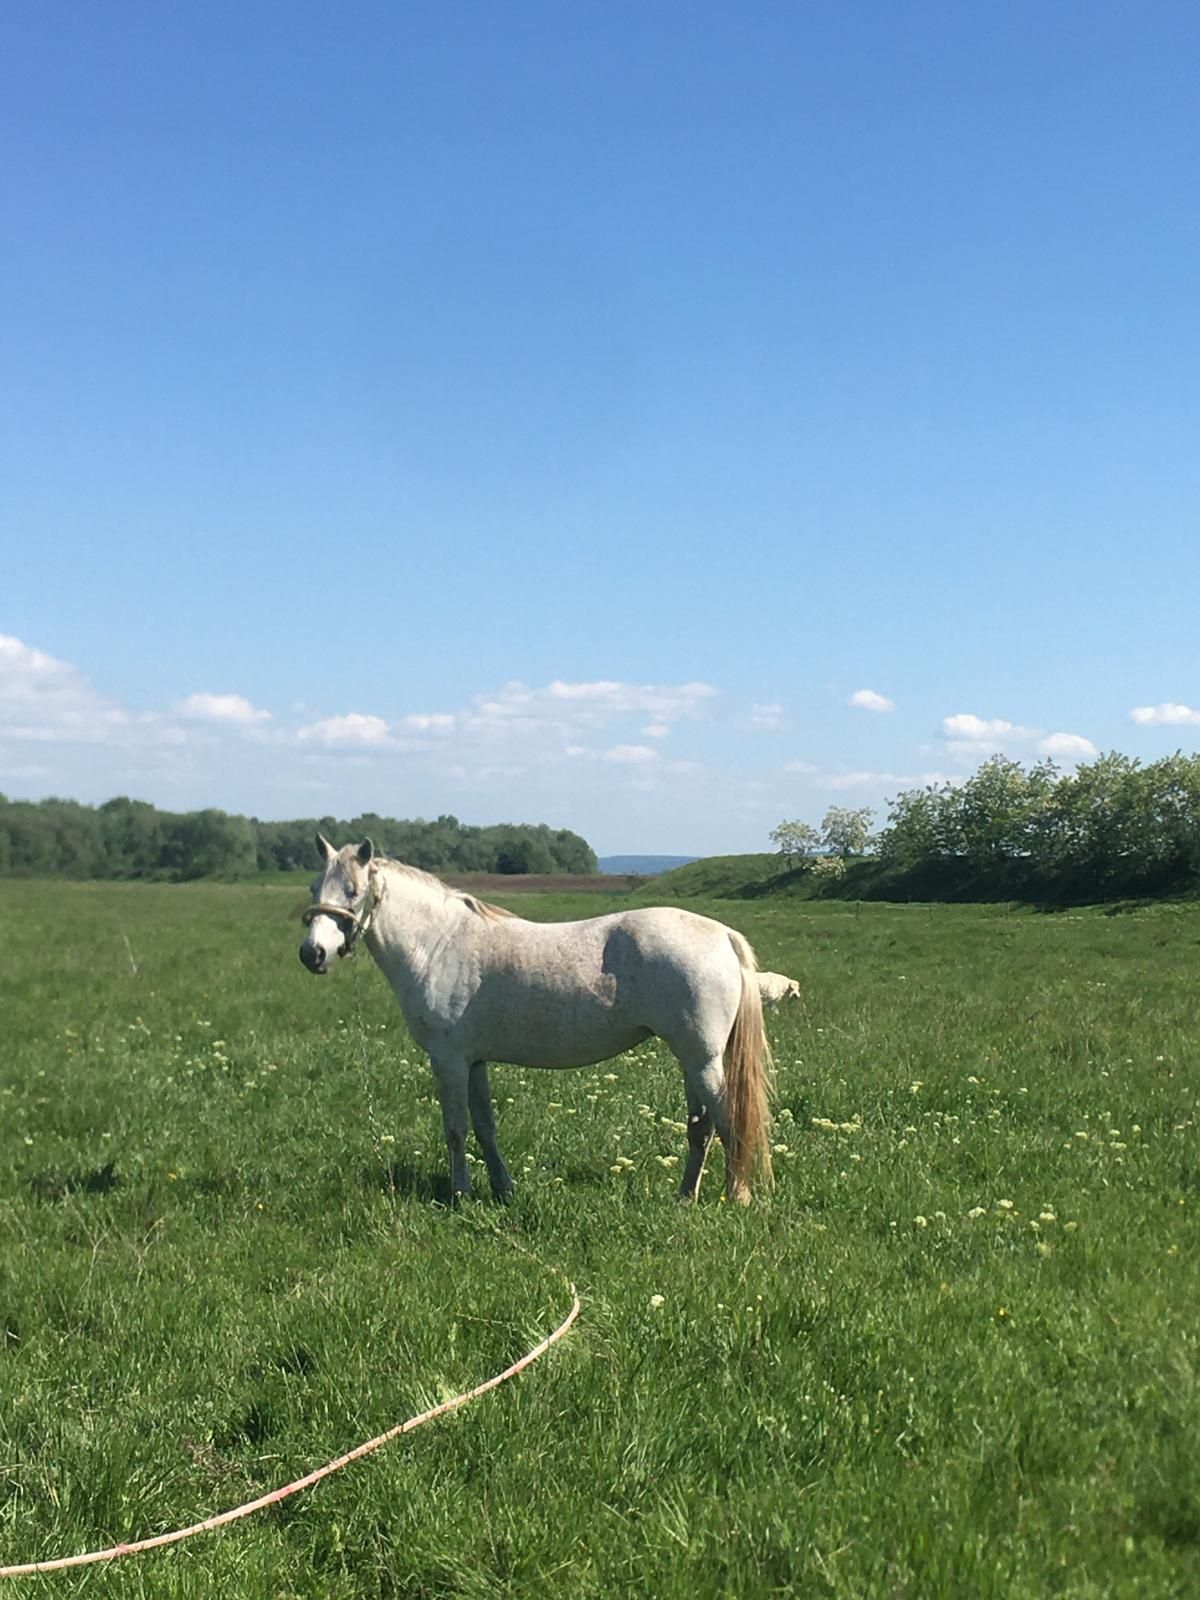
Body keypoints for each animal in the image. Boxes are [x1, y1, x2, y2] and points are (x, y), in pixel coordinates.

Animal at [296, 838, 774, 1203]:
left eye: (353, 891)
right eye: (315, 885)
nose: (312, 954)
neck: (439, 944)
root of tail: (722, 935)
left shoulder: (449, 1060)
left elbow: (455, 1129)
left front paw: (459, 1195)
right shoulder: (474, 1061)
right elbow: (485, 1128)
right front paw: (502, 1190)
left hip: (701, 1059)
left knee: (727, 1120)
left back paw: (737, 1196)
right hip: (691, 1059)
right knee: (701, 1127)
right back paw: (685, 1197)